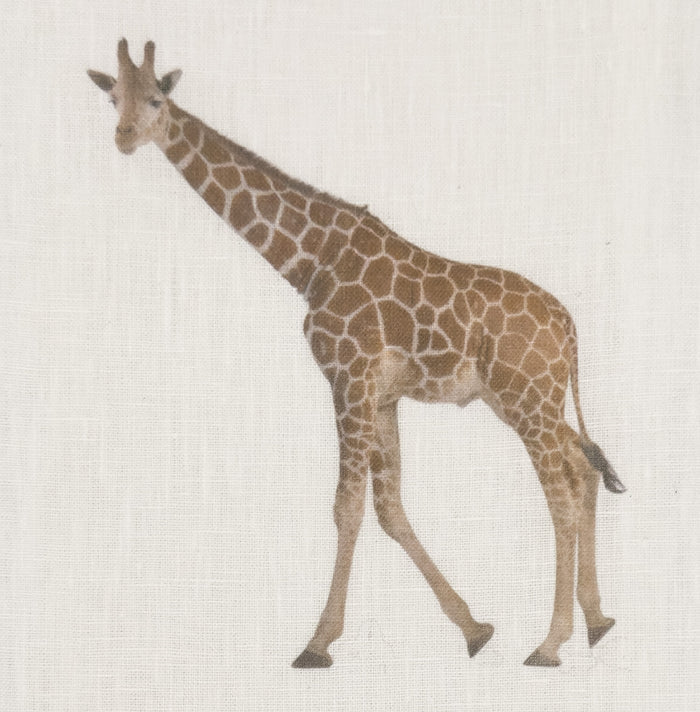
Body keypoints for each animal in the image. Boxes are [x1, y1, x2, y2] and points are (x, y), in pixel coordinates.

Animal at [88, 40, 625, 668]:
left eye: (156, 98)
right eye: (112, 98)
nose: (125, 137)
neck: (309, 261)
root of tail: (569, 327)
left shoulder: (348, 377)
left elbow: (347, 507)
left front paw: (317, 643)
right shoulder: (383, 395)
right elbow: (390, 508)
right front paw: (473, 628)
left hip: (526, 398)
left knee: (560, 494)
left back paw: (550, 642)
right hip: (532, 398)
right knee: (584, 467)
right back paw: (597, 622)